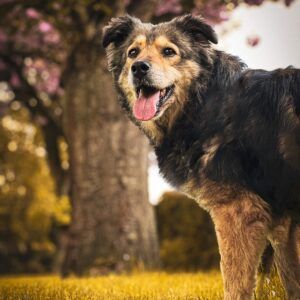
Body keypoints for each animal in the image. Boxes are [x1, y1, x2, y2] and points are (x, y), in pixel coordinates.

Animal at [103, 14, 300, 300]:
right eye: (132, 52)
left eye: (169, 52)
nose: (139, 68)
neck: (204, 101)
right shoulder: (285, 221)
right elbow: (292, 278)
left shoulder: (238, 211)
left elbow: (235, 281)